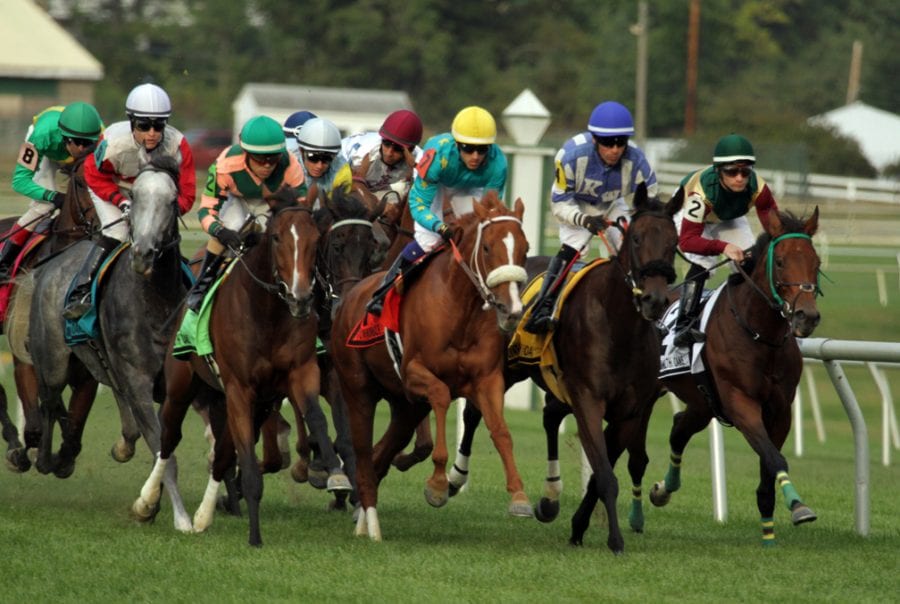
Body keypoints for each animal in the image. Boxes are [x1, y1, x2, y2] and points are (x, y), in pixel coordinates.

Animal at [28, 163, 192, 532]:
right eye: (135, 196)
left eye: (171, 200)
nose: (143, 254)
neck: (156, 303)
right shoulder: (139, 380)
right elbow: (164, 451)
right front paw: (177, 516)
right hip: (54, 360)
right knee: (49, 400)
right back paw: (48, 458)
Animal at [330, 191, 532, 540]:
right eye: (487, 248)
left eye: (526, 248)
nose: (512, 310)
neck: (461, 309)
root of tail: (349, 298)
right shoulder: (413, 372)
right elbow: (440, 394)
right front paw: (437, 484)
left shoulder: (487, 379)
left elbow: (501, 431)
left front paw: (519, 496)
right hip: (358, 389)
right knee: (363, 453)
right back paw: (372, 526)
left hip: (405, 406)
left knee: (381, 454)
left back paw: (364, 515)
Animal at [652, 208, 820, 548]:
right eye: (780, 262)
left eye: (817, 263)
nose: (806, 317)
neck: (761, 335)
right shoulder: (741, 403)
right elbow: (775, 458)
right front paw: (798, 506)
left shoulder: (780, 409)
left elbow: (769, 461)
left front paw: (770, 524)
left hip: (702, 403)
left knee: (678, 429)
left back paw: (663, 489)